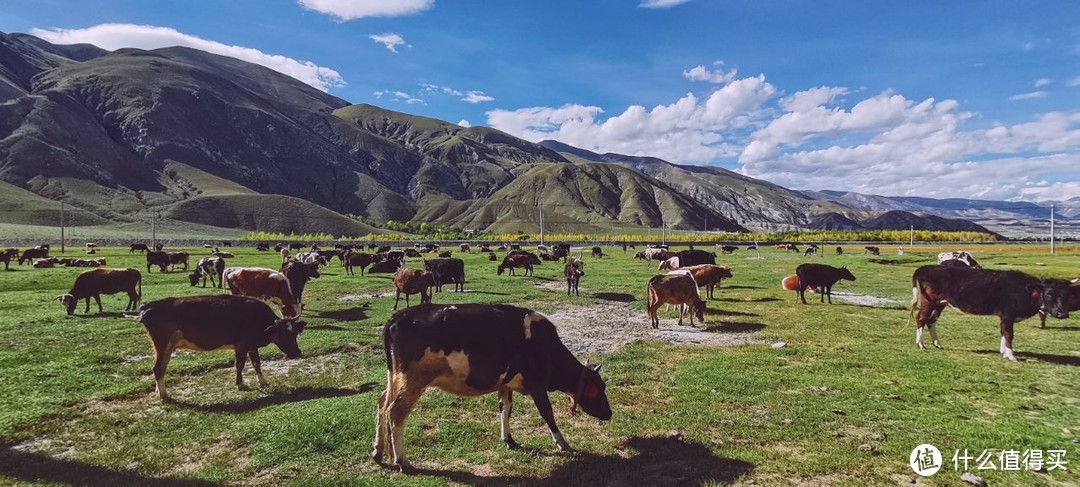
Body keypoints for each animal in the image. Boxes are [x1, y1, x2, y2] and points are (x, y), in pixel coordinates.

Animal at [369, 304, 609, 472]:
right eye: (596, 390)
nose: (609, 413)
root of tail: (399, 316)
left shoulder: (506, 384)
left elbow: (505, 408)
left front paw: (508, 439)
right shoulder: (537, 384)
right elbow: (547, 414)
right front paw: (563, 444)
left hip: (395, 378)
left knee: (382, 402)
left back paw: (377, 451)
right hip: (413, 380)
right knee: (395, 412)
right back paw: (402, 461)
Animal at [911, 264, 1071, 360]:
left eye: (1064, 295)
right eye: (1049, 294)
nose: (1062, 314)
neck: (1025, 291)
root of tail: (928, 267)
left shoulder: (1004, 316)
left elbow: (1003, 332)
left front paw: (1004, 353)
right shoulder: (1008, 314)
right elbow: (1009, 334)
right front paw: (1011, 356)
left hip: (941, 303)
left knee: (931, 320)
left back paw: (937, 343)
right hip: (929, 301)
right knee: (921, 318)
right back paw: (920, 345)